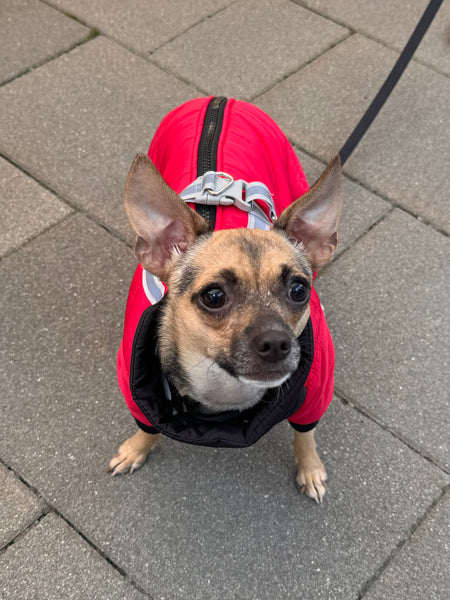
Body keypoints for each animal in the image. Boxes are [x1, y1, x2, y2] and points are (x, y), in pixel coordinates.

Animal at [109, 97, 342, 502]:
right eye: (214, 296)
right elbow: (146, 426)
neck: (225, 388)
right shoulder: (136, 393)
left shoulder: (314, 395)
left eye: (299, 290)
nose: (277, 342)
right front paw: (136, 449)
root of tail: (220, 99)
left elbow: (306, 436)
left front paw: (311, 469)